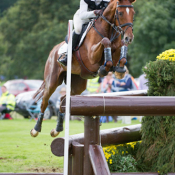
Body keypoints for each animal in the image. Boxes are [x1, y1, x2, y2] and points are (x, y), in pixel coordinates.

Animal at [30, 0, 136, 137]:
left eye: (133, 13)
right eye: (120, 13)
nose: (129, 37)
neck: (108, 30)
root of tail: (53, 50)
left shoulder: (117, 49)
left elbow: (120, 50)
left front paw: (120, 71)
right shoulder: (91, 56)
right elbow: (105, 42)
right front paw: (103, 69)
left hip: (78, 85)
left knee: (63, 100)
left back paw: (57, 129)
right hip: (52, 80)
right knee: (45, 101)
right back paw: (36, 129)